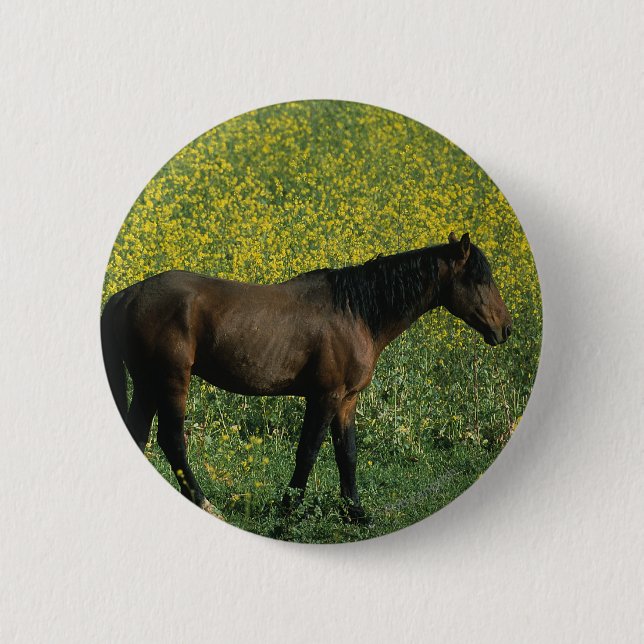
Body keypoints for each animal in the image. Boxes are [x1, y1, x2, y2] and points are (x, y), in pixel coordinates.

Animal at [101, 232, 512, 522]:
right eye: (480, 279)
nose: (505, 329)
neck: (356, 311)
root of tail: (126, 295)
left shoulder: (347, 400)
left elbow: (347, 453)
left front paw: (355, 513)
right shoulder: (325, 396)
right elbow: (309, 452)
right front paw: (289, 509)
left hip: (148, 384)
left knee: (140, 434)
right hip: (171, 381)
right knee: (172, 441)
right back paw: (205, 504)